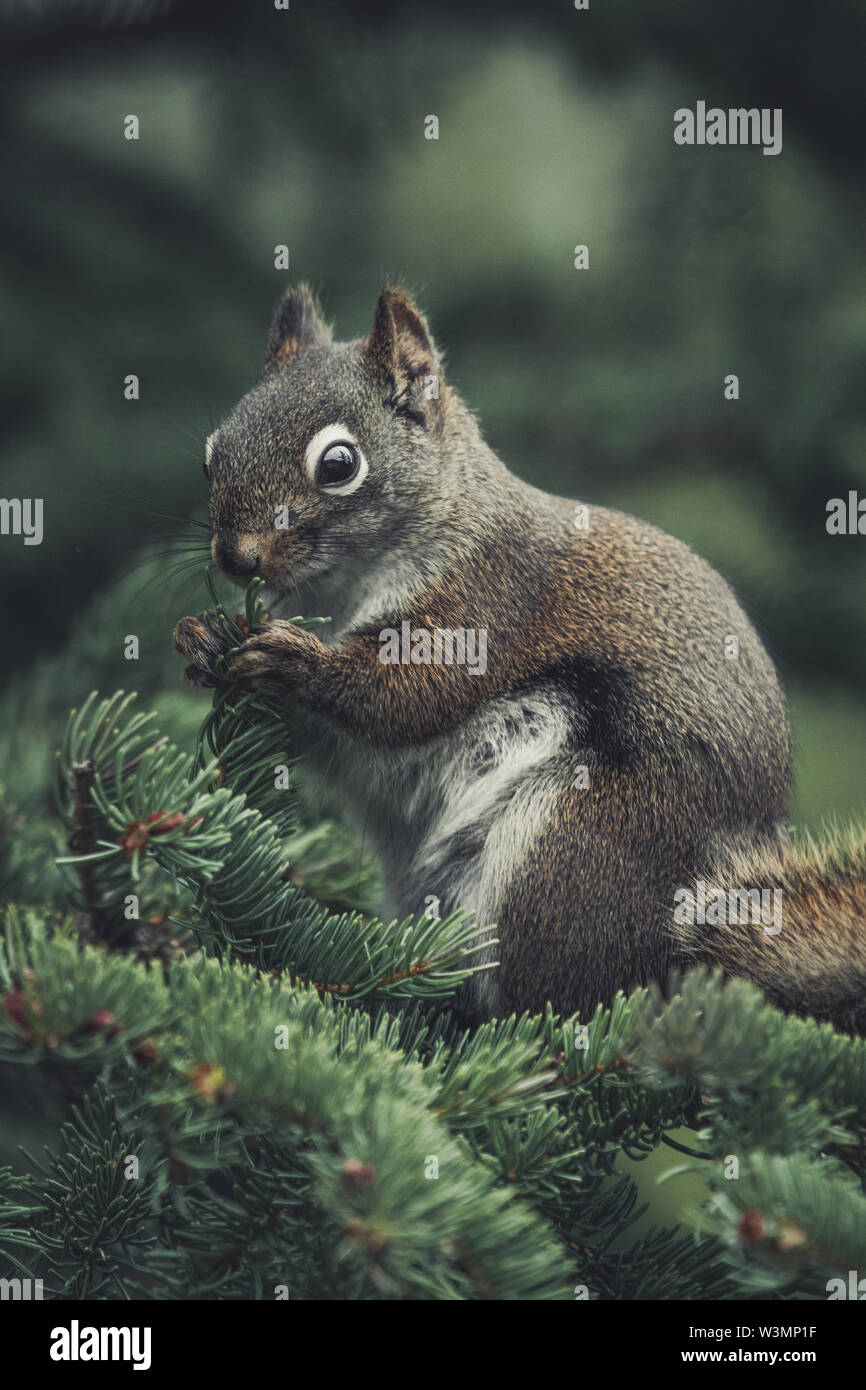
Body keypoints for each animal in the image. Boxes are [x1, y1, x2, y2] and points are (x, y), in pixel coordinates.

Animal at [174, 284, 866, 1034]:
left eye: (339, 464)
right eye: (210, 455)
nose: (237, 559)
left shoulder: (487, 602)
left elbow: (401, 699)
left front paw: (295, 661)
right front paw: (202, 638)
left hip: (572, 849)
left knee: (557, 1004)